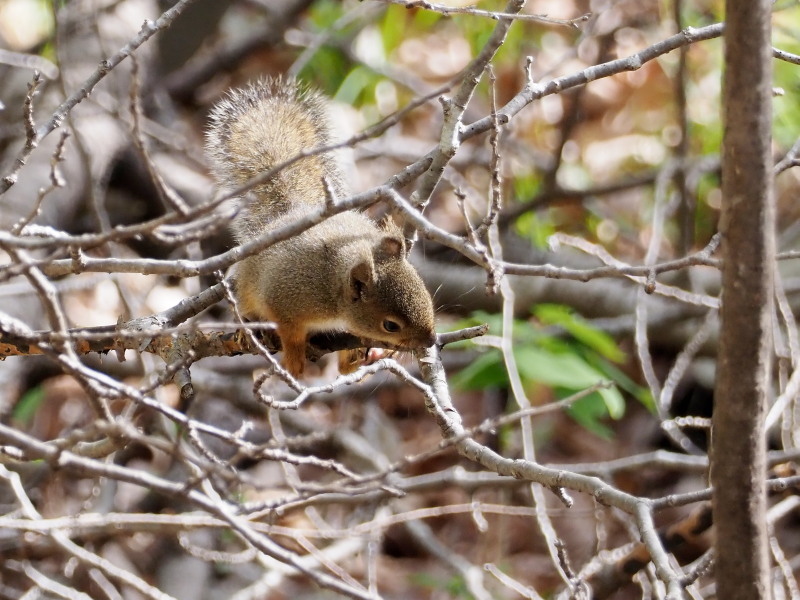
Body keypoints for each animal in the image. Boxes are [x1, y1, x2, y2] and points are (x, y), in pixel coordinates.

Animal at [203, 77, 434, 378]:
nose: (432, 340)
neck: (333, 289)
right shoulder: (285, 300)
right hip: (246, 286)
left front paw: (366, 354)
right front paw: (294, 361)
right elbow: (290, 333)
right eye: (390, 325)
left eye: (425, 293)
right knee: (245, 304)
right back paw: (245, 329)